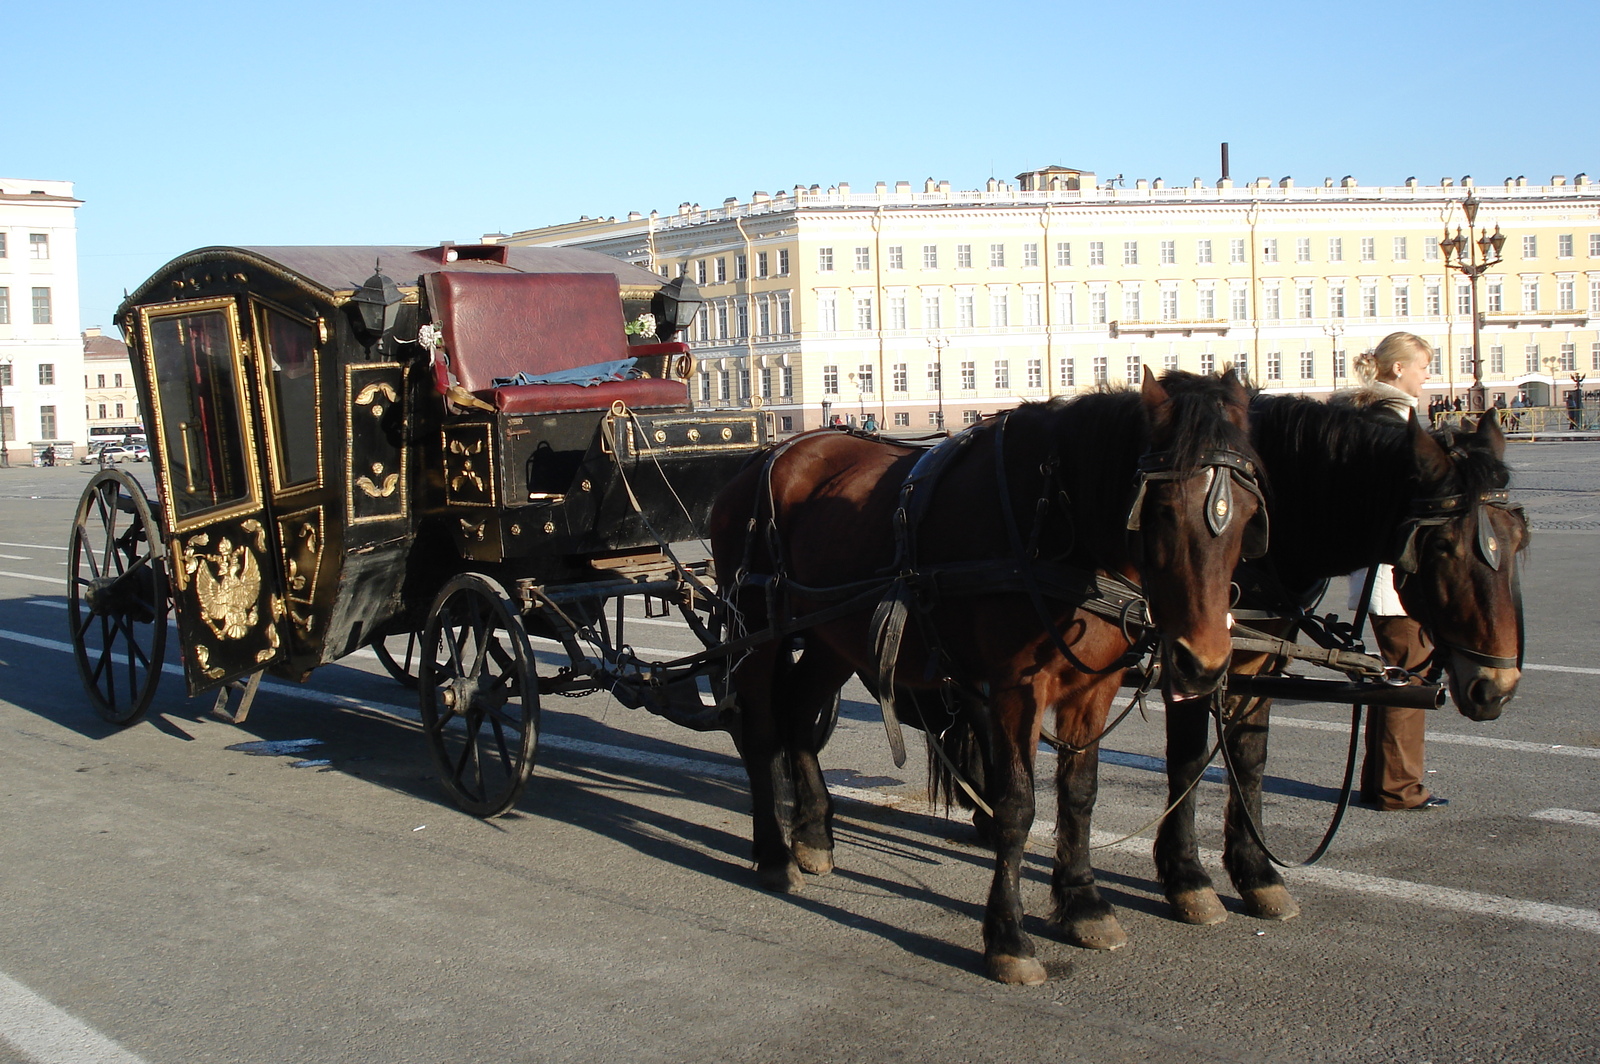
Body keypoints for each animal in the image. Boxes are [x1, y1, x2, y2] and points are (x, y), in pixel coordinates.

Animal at [710, 369, 1260, 985]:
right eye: (1161, 508)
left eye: (1246, 512)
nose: (1204, 663)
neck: (1053, 511)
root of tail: (765, 457)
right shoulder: (1017, 688)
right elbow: (1017, 804)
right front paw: (1008, 937)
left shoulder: (1093, 687)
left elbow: (1079, 794)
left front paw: (1083, 903)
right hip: (757, 628)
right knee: (761, 732)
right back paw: (774, 855)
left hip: (834, 635)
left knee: (800, 712)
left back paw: (812, 834)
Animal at [1049, 398, 1523, 947]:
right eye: (1444, 546)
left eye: (1519, 540)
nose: (1497, 687)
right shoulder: (1191, 660)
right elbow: (1188, 761)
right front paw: (1188, 880)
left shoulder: (1261, 659)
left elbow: (1250, 759)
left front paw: (1257, 874)